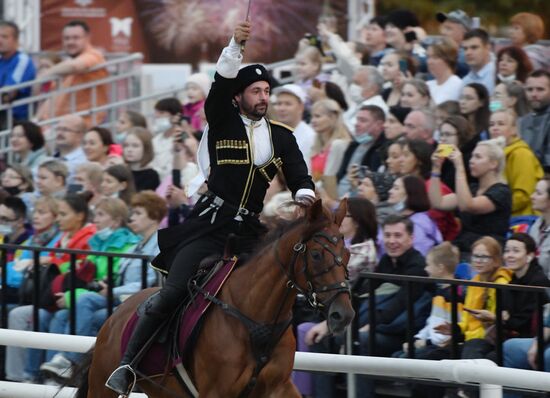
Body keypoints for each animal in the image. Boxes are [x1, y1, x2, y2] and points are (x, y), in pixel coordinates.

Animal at [76, 199, 354, 398]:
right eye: (317, 255)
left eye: (348, 254)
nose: (343, 314)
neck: (256, 319)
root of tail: (114, 317)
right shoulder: (217, 392)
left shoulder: (280, 387)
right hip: (101, 386)